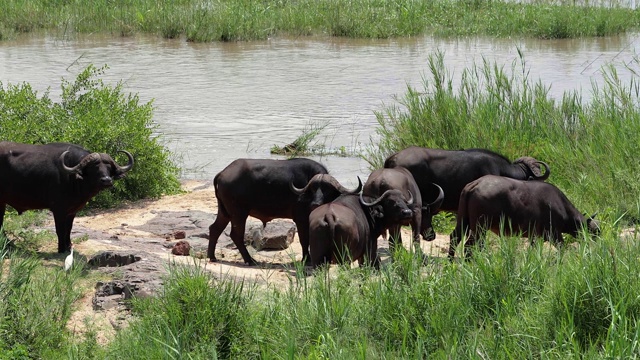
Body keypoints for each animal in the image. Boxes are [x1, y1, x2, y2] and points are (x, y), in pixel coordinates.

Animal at [0, 141, 134, 253]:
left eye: (109, 167)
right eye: (94, 168)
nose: (106, 180)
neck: (72, 178)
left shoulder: (72, 211)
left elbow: (68, 229)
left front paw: (69, 247)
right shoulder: (58, 210)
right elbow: (60, 230)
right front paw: (61, 249)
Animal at [209, 159, 362, 266]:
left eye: (327, 190)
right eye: (314, 189)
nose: (315, 204)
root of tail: (223, 173)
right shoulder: (301, 219)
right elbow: (304, 239)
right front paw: (306, 259)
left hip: (225, 212)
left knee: (215, 229)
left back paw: (212, 256)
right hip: (239, 213)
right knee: (236, 235)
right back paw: (250, 260)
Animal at [448, 175, 604, 258]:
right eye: (595, 231)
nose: (599, 245)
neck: (560, 206)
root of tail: (475, 184)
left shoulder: (534, 236)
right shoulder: (554, 234)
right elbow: (562, 247)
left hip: (463, 221)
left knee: (455, 237)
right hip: (480, 227)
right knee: (470, 245)